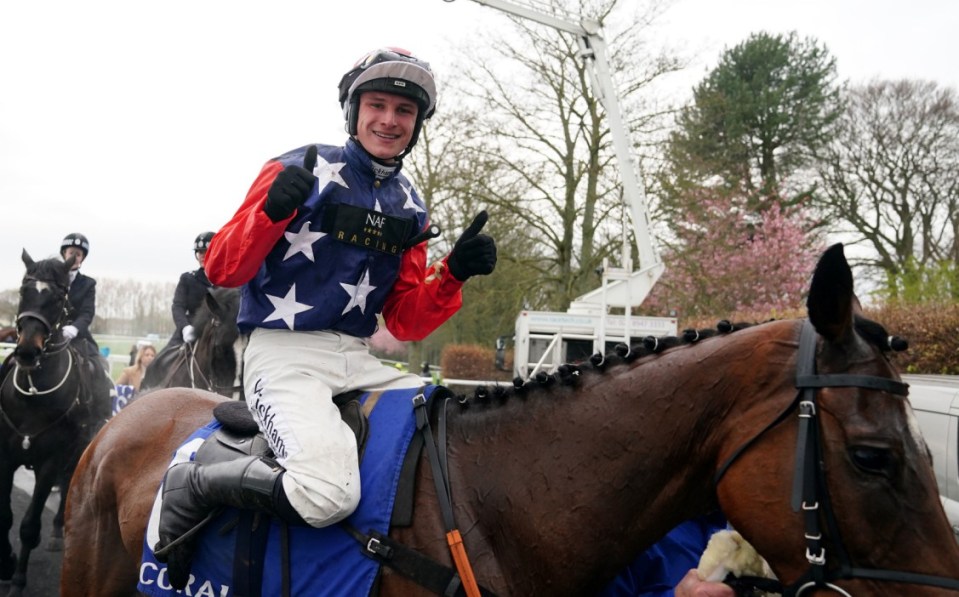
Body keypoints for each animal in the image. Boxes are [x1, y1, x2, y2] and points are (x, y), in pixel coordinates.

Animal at [0, 249, 112, 592]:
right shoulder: (6, 456)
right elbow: (5, 517)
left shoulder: (50, 460)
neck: (33, 393)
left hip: (77, 451)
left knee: (68, 485)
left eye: (59, 297)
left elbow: (28, 525)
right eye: (24, 290)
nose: (26, 351)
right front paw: (7, 564)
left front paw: (18, 580)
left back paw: (59, 530)